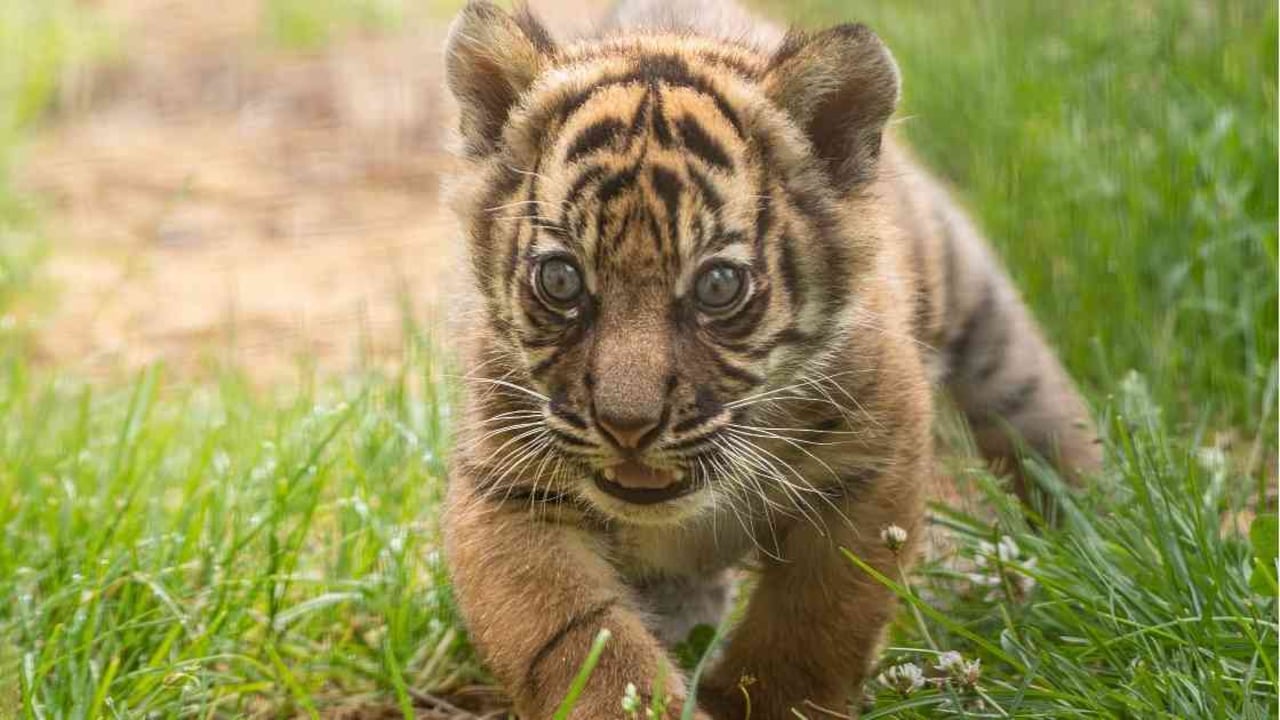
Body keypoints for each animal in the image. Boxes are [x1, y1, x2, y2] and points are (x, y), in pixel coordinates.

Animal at [441, 0, 1101, 717]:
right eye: (560, 279)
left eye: (718, 285)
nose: (627, 427)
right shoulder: (506, 487)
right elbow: (574, 633)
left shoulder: (873, 457)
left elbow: (816, 621)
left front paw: (768, 699)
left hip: (986, 323)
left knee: (1044, 421)